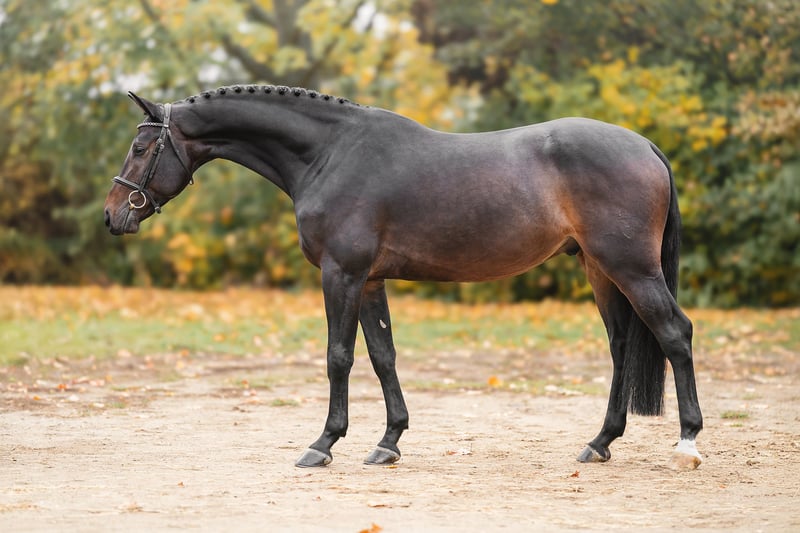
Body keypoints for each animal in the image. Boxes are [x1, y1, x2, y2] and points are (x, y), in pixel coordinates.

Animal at [104, 85, 703, 470]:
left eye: (139, 147)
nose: (112, 216)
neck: (330, 155)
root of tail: (645, 145)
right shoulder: (369, 281)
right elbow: (382, 356)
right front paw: (388, 442)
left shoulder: (341, 274)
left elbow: (339, 357)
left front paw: (323, 443)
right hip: (601, 270)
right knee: (622, 346)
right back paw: (600, 442)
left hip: (631, 267)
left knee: (675, 333)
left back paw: (687, 443)